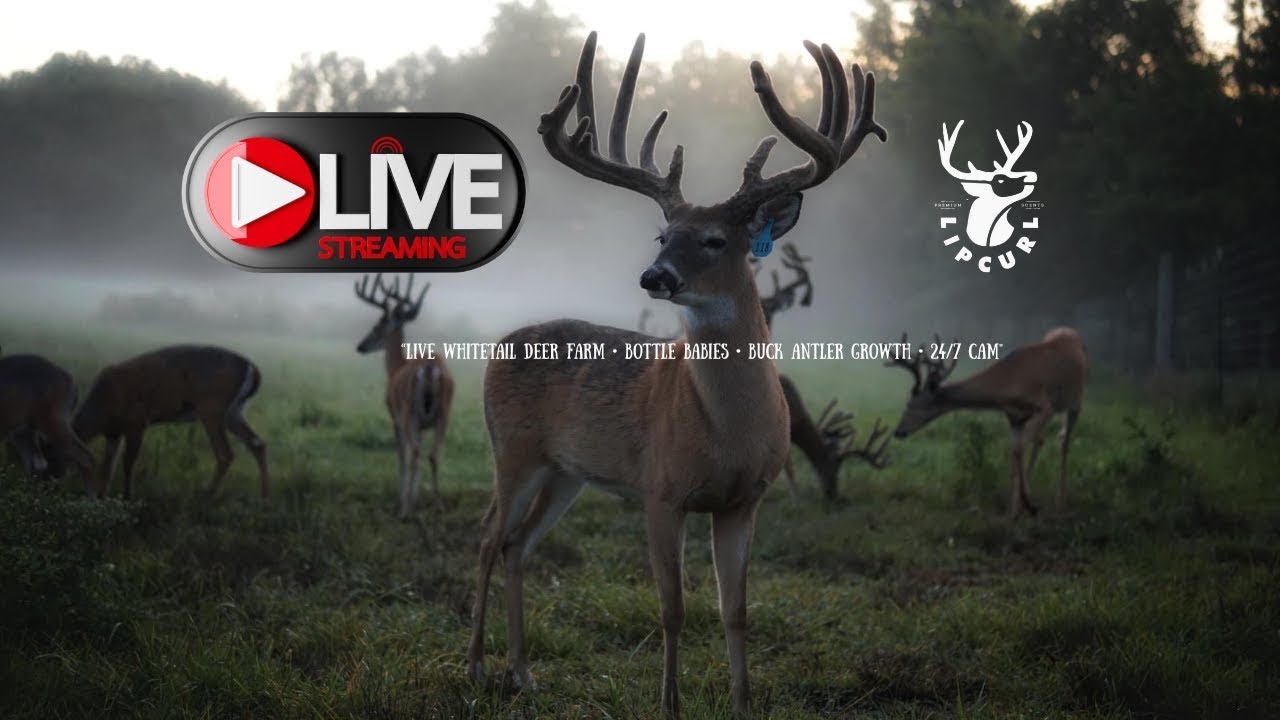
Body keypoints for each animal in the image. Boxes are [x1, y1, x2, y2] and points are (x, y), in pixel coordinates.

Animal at [72, 345, 268, 499]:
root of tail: (251, 368)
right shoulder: (114, 433)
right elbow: (108, 468)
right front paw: (102, 496)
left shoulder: (137, 422)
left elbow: (127, 464)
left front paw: (127, 497)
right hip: (234, 411)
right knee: (257, 443)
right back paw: (265, 496)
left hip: (212, 408)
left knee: (225, 453)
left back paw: (206, 495)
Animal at [354, 273, 454, 518]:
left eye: (377, 326)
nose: (361, 346)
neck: (396, 366)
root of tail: (429, 368)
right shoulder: (424, 425)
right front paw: (414, 496)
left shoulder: (395, 417)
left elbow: (401, 455)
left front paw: (404, 497)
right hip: (444, 413)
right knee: (433, 454)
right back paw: (438, 504)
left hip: (410, 412)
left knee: (414, 453)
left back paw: (406, 511)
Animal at [466, 32, 886, 718]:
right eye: (663, 236)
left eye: (715, 240)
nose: (653, 275)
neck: (728, 430)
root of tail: (499, 345)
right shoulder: (662, 491)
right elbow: (673, 609)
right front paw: (670, 703)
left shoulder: (744, 500)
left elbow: (736, 610)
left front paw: (743, 703)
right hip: (513, 449)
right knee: (484, 537)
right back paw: (477, 666)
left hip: (566, 470)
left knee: (517, 545)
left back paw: (523, 673)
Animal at [886, 328, 1087, 517]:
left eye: (910, 405)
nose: (898, 431)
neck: (1009, 386)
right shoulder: (1014, 417)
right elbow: (1015, 452)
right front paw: (1013, 512)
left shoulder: (1044, 405)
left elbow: (1020, 449)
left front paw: (1029, 506)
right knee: (1041, 441)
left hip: (1075, 400)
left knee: (1063, 442)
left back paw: (1060, 501)